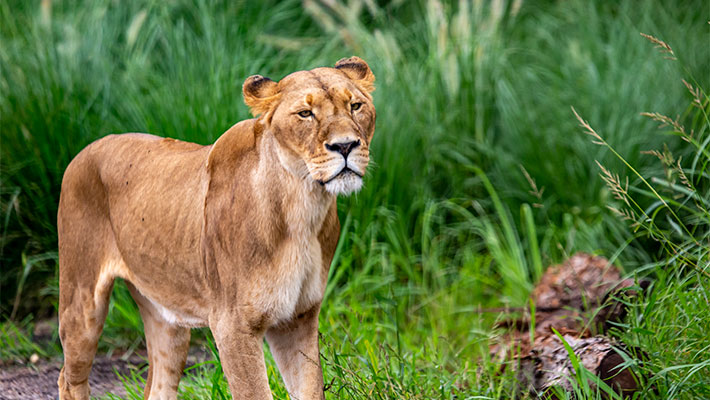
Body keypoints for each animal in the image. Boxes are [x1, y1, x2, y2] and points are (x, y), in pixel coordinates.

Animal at [57, 57, 376, 400]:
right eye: (305, 113)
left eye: (356, 106)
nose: (346, 145)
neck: (302, 206)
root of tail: (84, 151)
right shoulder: (232, 324)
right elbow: (255, 393)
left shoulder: (297, 319)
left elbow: (311, 389)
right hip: (82, 302)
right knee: (69, 378)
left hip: (166, 319)